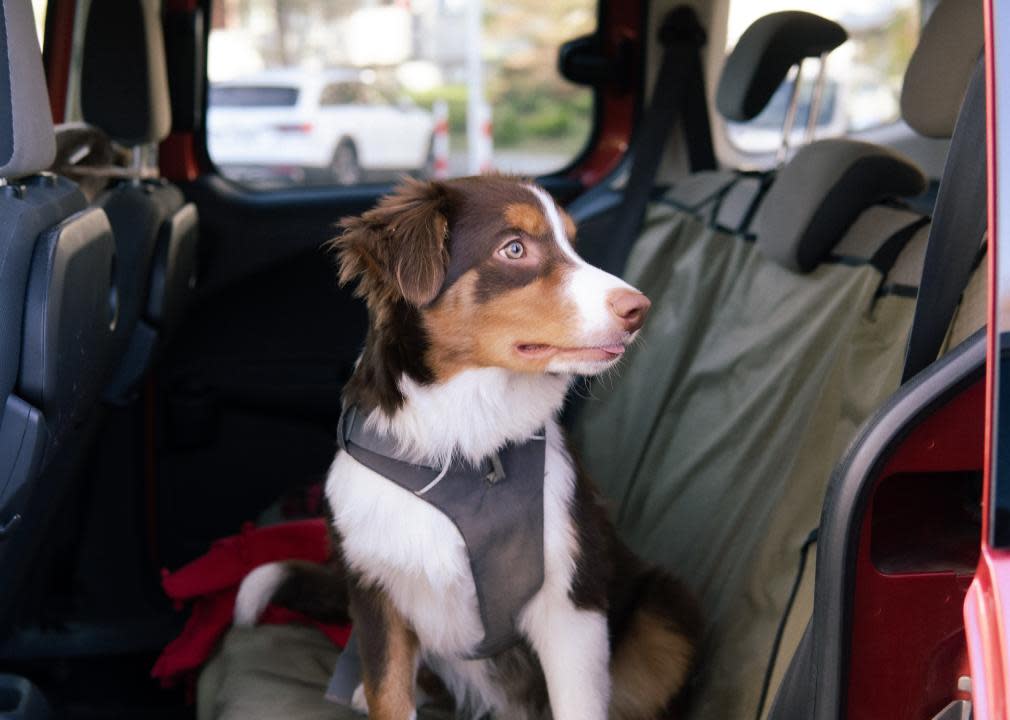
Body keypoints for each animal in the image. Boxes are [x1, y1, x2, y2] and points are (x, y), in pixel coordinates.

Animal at [232, 175, 698, 718]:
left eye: (572, 243)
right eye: (514, 247)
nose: (639, 309)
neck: (466, 446)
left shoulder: (571, 602)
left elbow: (578, 704)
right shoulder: (375, 591)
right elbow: (388, 691)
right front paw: (379, 693)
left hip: (665, 617)